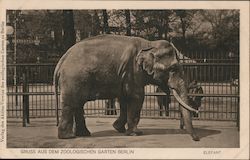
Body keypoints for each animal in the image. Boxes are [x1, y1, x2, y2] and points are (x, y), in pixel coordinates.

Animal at [54, 34, 199, 141]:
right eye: (173, 68)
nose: (196, 139)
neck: (149, 44)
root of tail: (61, 60)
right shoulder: (133, 71)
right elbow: (137, 97)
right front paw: (136, 133)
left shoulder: (125, 75)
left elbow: (124, 98)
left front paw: (119, 128)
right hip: (73, 79)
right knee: (71, 104)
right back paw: (68, 137)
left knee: (78, 104)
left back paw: (83, 134)